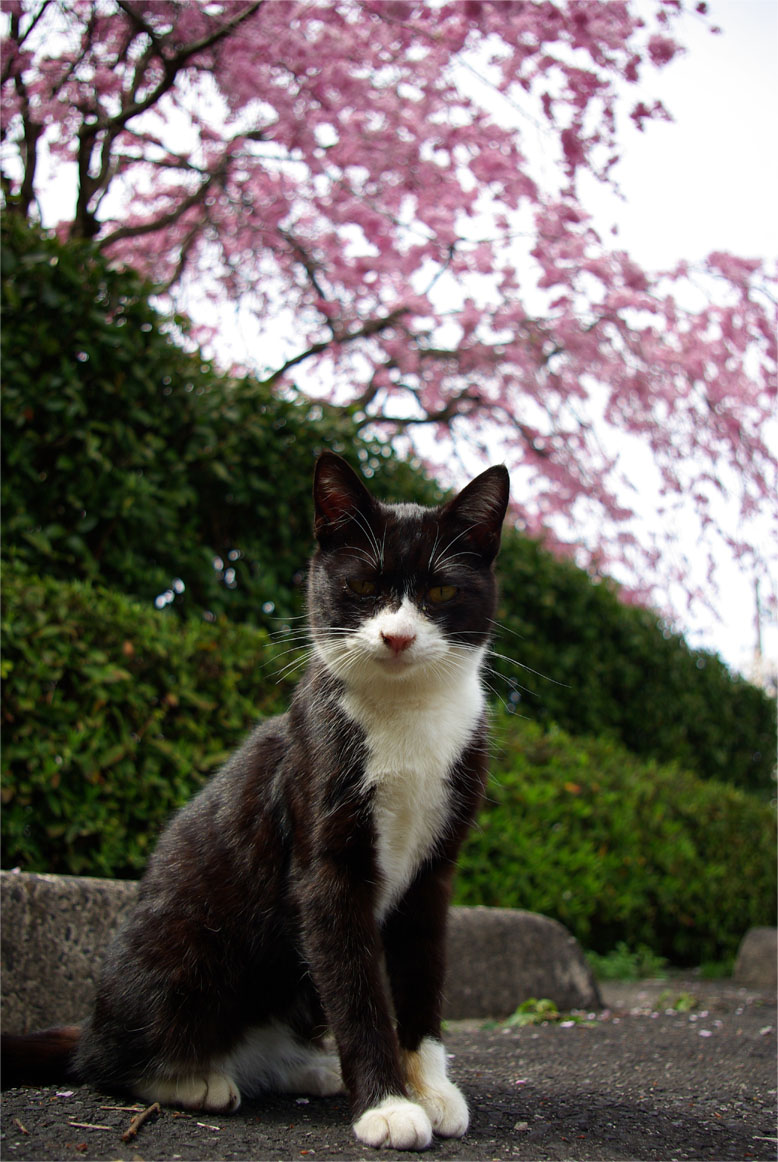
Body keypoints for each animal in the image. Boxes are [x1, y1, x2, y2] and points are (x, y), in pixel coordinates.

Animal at [4, 448, 510, 1148]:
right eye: (362, 587)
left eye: (439, 592)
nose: (398, 638)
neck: (409, 720)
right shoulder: (324, 853)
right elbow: (357, 990)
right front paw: (387, 1105)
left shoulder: (435, 871)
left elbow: (422, 979)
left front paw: (430, 1089)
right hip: (187, 951)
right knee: (103, 1063)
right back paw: (194, 1080)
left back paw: (305, 1070)